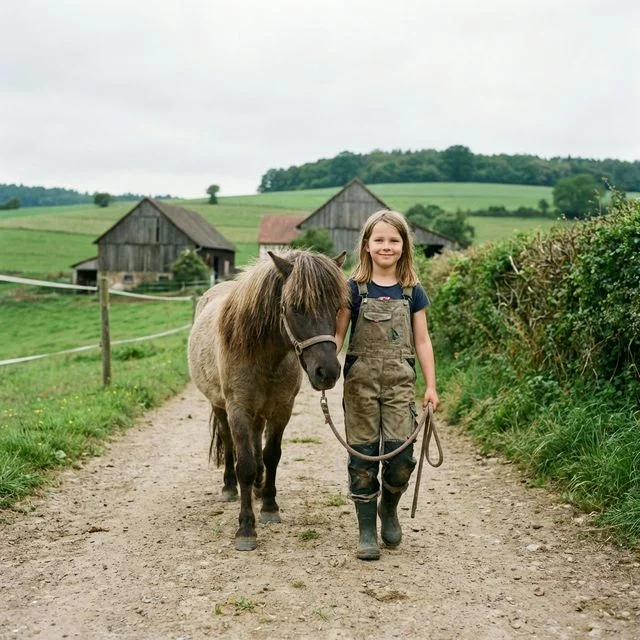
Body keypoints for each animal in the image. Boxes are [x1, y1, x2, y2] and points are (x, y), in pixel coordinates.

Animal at [188, 249, 348, 551]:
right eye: (296, 307)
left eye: (337, 308)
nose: (327, 372)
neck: (263, 354)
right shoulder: (238, 408)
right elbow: (245, 464)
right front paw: (246, 529)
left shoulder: (282, 409)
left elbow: (271, 455)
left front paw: (270, 505)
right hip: (221, 406)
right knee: (228, 442)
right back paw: (229, 486)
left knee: (256, 440)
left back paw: (260, 487)